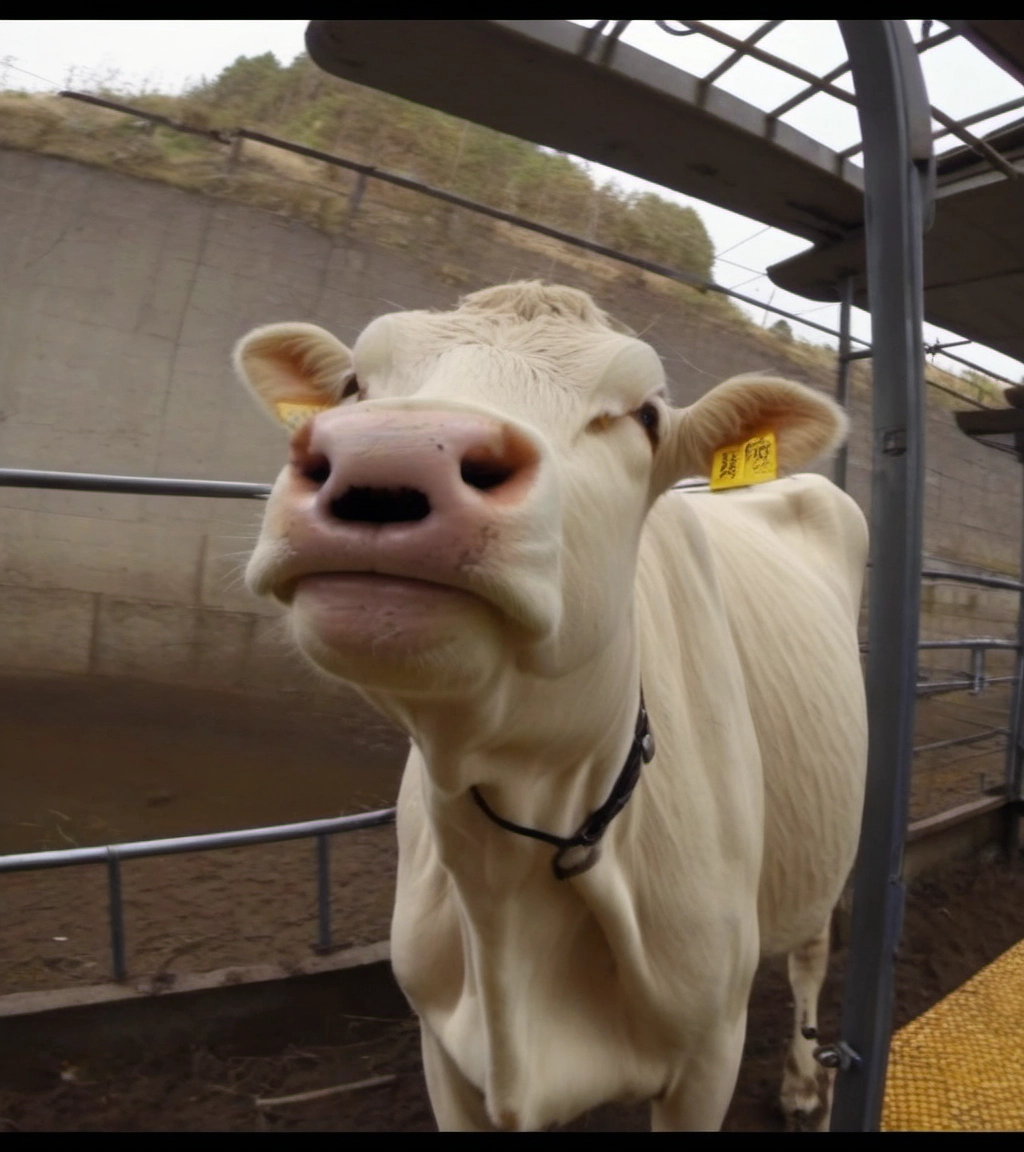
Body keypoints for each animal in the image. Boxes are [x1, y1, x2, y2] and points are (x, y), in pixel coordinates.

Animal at [232, 281, 868, 1132]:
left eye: (644, 416)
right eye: (353, 385)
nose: (392, 454)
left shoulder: (709, 1051)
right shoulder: (443, 1048)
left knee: (813, 948)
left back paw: (805, 1081)